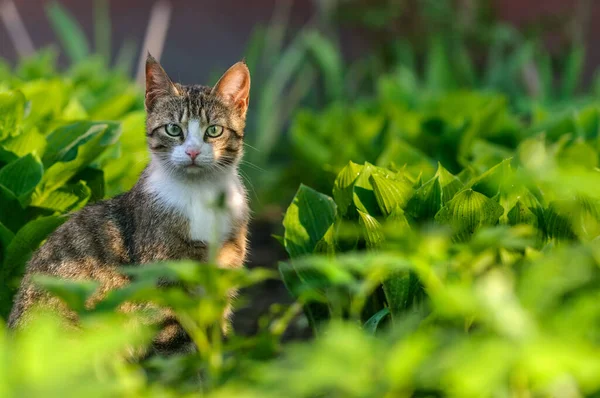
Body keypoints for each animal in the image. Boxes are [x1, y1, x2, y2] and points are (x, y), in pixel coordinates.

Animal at [7, 53, 251, 354]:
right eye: (173, 129)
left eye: (214, 130)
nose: (193, 152)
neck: (199, 193)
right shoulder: (162, 284)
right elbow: (176, 350)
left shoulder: (224, 274)